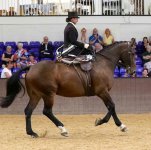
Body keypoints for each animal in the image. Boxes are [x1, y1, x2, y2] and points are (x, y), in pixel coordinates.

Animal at [0, 41, 136, 138]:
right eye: (132, 53)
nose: (133, 71)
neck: (103, 63)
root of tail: (31, 67)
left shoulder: (103, 92)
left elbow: (110, 107)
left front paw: (113, 124)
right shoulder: (102, 91)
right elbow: (112, 106)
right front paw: (113, 124)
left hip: (36, 95)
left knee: (28, 111)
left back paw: (32, 133)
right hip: (48, 94)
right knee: (47, 111)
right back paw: (63, 129)